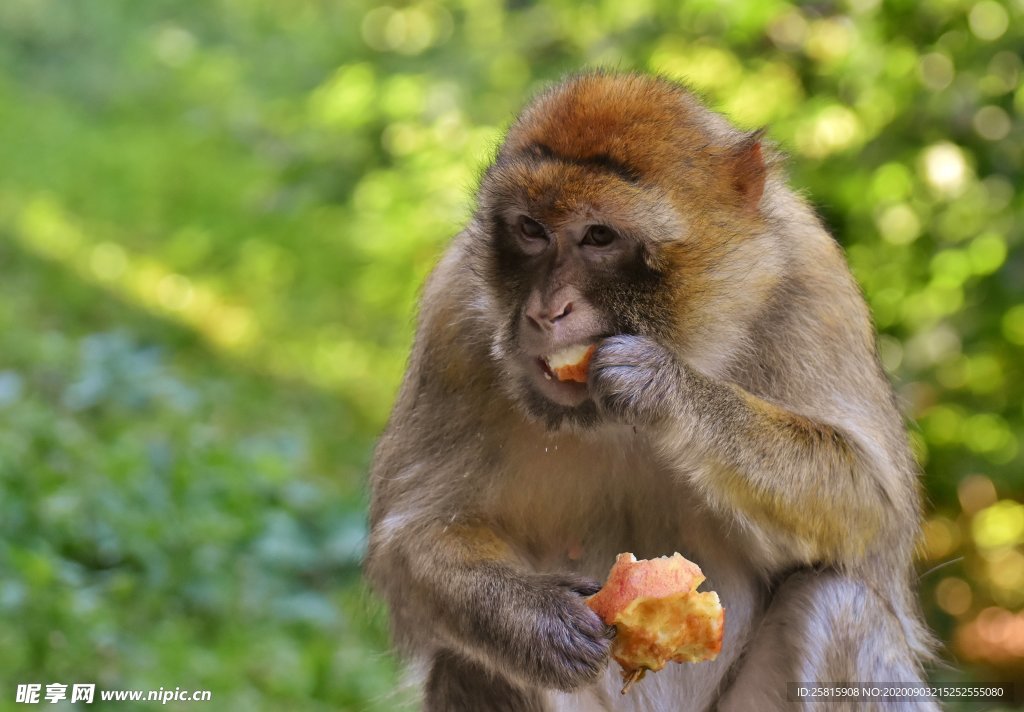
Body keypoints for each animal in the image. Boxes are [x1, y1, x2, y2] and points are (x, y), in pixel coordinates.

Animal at [364, 73, 937, 712]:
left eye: (599, 235)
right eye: (531, 230)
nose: (545, 311)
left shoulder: (813, 285)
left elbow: (872, 507)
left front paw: (667, 391)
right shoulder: (452, 320)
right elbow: (411, 536)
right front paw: (535, 620)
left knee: (837, 603)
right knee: (468, 660)